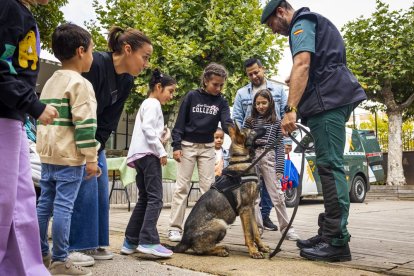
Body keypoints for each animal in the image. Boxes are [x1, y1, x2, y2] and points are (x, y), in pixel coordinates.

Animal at [171, 125, 268, 258]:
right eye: (252, 131)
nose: (265, 127)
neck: (241, 161)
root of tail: (184, 239)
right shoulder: (245, 209)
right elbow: (249, 233)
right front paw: (253, 251)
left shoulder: (251, 208)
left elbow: (256, 232)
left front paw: (261, 247)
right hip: (221, 224)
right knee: (200, 250)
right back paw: (220, 250)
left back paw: (221, 247)